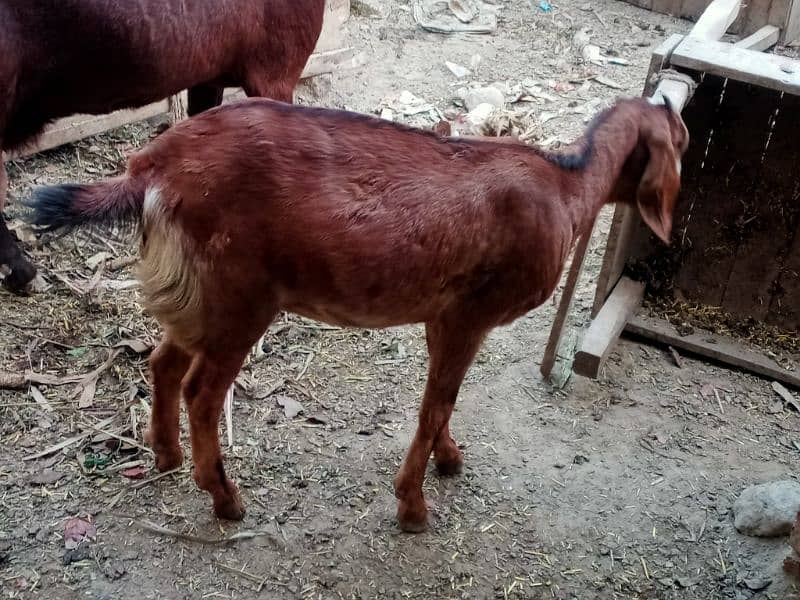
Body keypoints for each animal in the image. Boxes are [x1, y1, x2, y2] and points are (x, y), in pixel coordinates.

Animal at [28, 96, 692, 532]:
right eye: (682, 139)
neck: (567, 189)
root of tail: (150, 167)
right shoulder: (468, 314)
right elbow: (436, 404)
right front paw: (414, 508)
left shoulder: (442, 316)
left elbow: (442, 399)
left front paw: (449, 460)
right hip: (239, 295)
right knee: (201, 390)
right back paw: (224, 498)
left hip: (195, 292)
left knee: (163, 362)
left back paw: (165, 455)